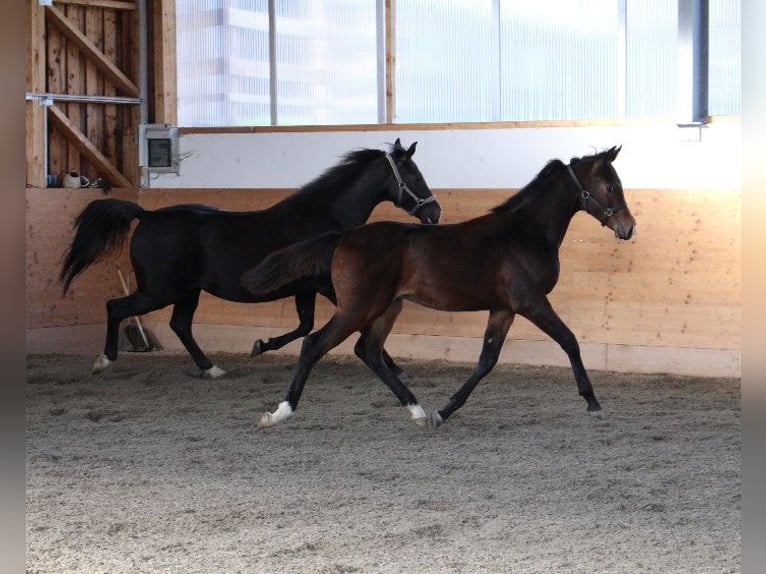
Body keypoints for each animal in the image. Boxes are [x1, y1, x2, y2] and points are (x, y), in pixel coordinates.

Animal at [59, 139, 441, 377]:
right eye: (415, 175)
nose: (434, 212)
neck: (323, 218)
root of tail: (146, 214)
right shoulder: (324, 287)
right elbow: (343, 323)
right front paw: (392, 365)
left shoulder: (306, 289)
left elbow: (305, 325)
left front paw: (260, 345)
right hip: (158, 290)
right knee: (116, 307)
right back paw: (104, 361)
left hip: (186, 291)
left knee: (180, 325)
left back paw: (211, 368)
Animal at [242, 146, 636, 428]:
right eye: (611, 186)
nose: (628, 227)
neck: (526, 232)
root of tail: (342, 237)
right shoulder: (531, 303)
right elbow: (569, 340)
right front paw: (593, 403)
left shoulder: (503, 308)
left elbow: (486, 361)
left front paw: (444, 412)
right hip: (358, 307)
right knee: (315, 344)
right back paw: (278, 413)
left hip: (388, 307)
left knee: (368, 351)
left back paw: (417, 410)